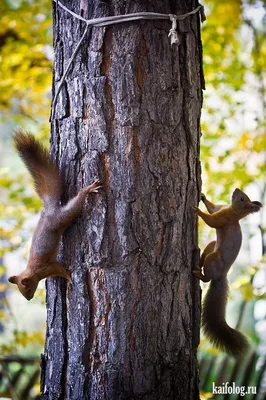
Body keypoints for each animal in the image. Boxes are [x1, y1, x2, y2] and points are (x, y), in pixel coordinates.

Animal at [8, 130, 102, 302]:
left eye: (27, 288)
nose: (29, 299)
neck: (33, 271)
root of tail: (51, 210)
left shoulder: (48, 267)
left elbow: (61, 270)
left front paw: (69, 279)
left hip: (63, 217)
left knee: (76, 204)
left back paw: (87, 190)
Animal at [191, 189, 262, 358]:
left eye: (242, 198)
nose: (236, 189)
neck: (233, 211)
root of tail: (222, 275)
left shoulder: (224, 218)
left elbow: (212, 221)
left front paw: (198, 211)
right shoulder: (221, 209)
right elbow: (213, 208)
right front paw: (202, 197)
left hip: (213, 259)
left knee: (207, 278)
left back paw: (198, 274)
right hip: (212, 246)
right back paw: (198, 261)